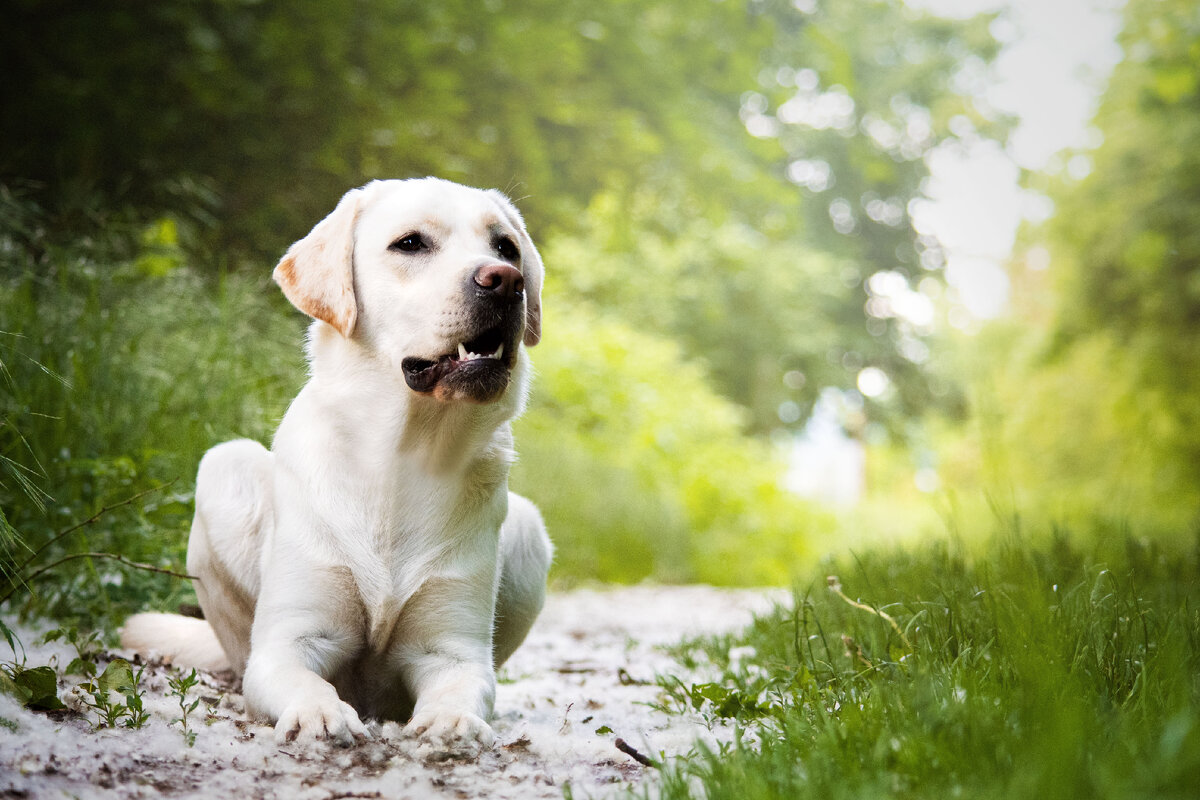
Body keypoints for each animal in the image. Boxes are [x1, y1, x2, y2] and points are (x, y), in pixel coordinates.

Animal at [121, 179, 552, 753]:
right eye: (410, 244)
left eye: (505, 247)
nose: (506, 281)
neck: (401, 456)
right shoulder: (285, 644)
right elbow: (306, 680)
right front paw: (319, 714)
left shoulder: (453, 652)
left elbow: (462, 687)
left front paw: (452, 721)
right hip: (223, 468)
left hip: (528, 528)